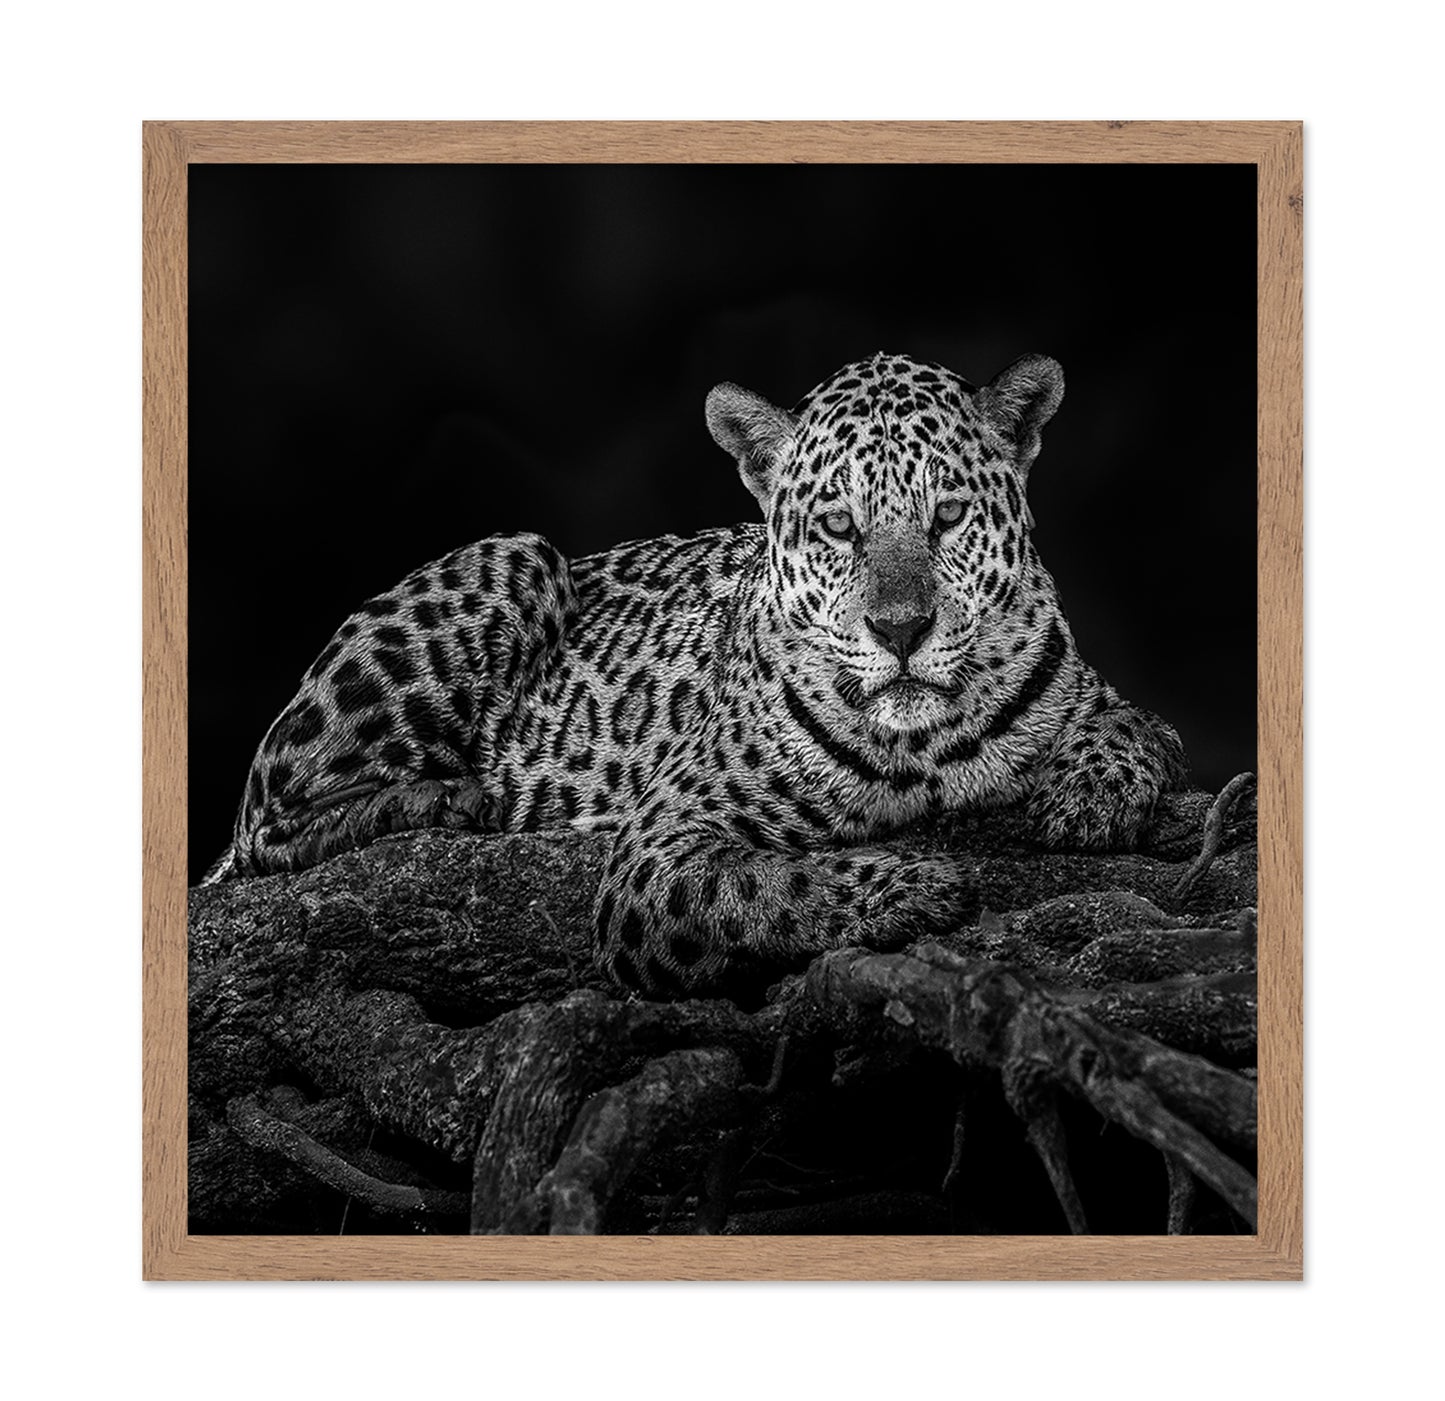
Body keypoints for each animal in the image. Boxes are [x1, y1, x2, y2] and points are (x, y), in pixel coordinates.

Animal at [204, 351, 1188, 998]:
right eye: (838, 526)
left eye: (945, 515)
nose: (901, 629)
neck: (925, 744)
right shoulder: (658, 851)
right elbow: (766, 886)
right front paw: (912, 883)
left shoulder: (1100, 696)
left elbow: (1138, 725)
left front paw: (1088, 794)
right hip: (515, 554)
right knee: (266, 822)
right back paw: (456, 797)